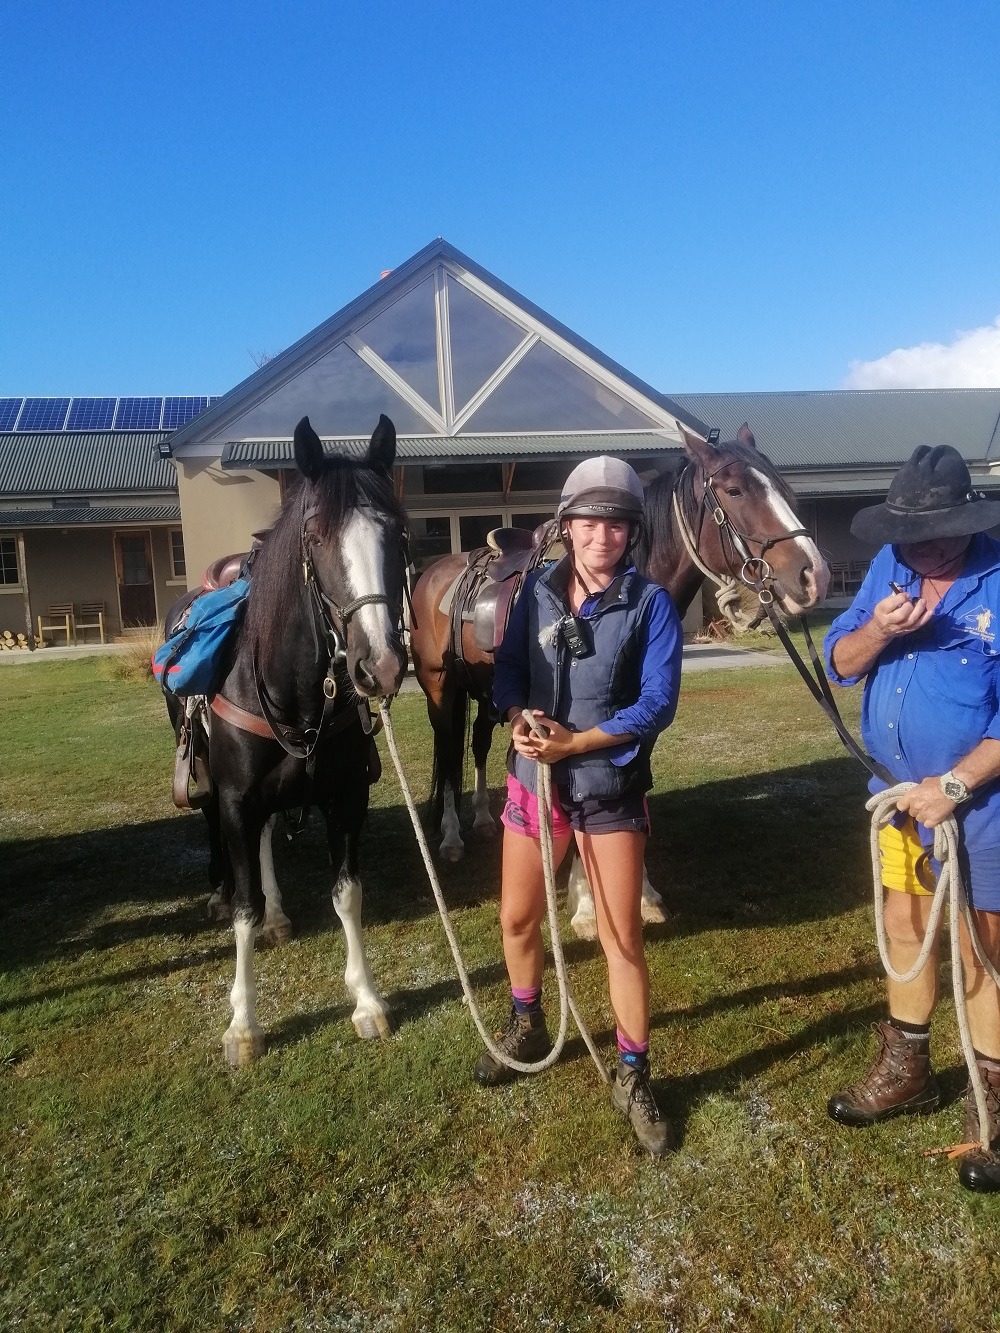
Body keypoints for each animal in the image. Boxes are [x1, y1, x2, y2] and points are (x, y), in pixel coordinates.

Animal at [166, 413, 408, 1061]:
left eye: (398, 532)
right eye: (316, 538)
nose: (380, 666)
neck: (293, 689)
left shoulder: (346, 797)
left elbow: (347, 893)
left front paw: (367, 1001)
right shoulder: (235, 800)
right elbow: (244, 910)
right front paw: (243, 1025)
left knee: (271, 838)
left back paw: (279, 914)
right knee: (224, 842)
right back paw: (221, 892)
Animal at [408, 426, 832, 885]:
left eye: (787, 490)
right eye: (734, 490)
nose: (815, 576)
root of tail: (433, 572)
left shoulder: (636, 712)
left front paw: (631, 884)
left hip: (486, 692)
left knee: (478, 742)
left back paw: (484, 818)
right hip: (441, 687)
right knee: (449, 749)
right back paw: (451, 835)